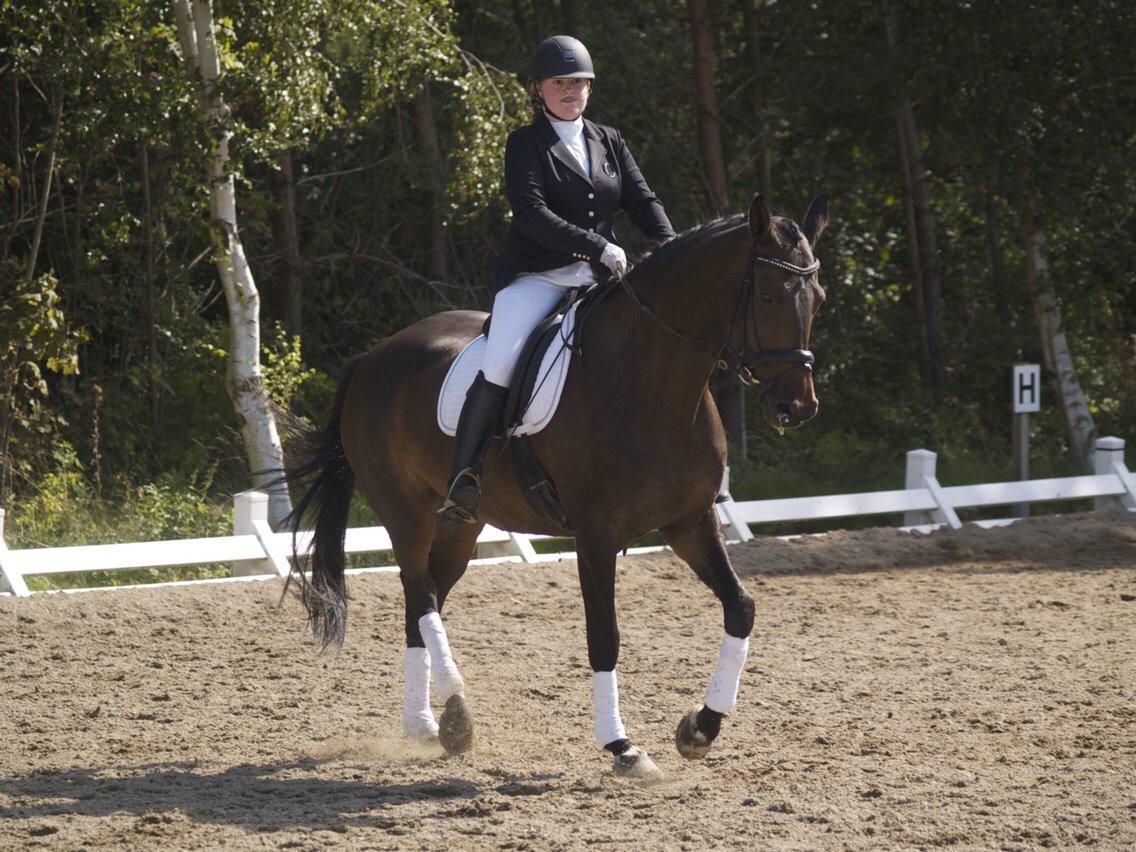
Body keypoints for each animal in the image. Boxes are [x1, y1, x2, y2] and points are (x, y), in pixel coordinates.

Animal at [282, 193, 827, 781]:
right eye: (768, 295)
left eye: (817, 298)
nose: (797, 407)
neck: (652, 378)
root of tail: (372, 358)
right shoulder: (596, 535)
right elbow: (604, 637)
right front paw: (622, 746)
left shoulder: (690, 523)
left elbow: (741, 608)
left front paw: (700, 728)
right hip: (405, 513)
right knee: (420, 595)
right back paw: (457, 712)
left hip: (460, 526)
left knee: (420, 603)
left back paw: (428, 724)